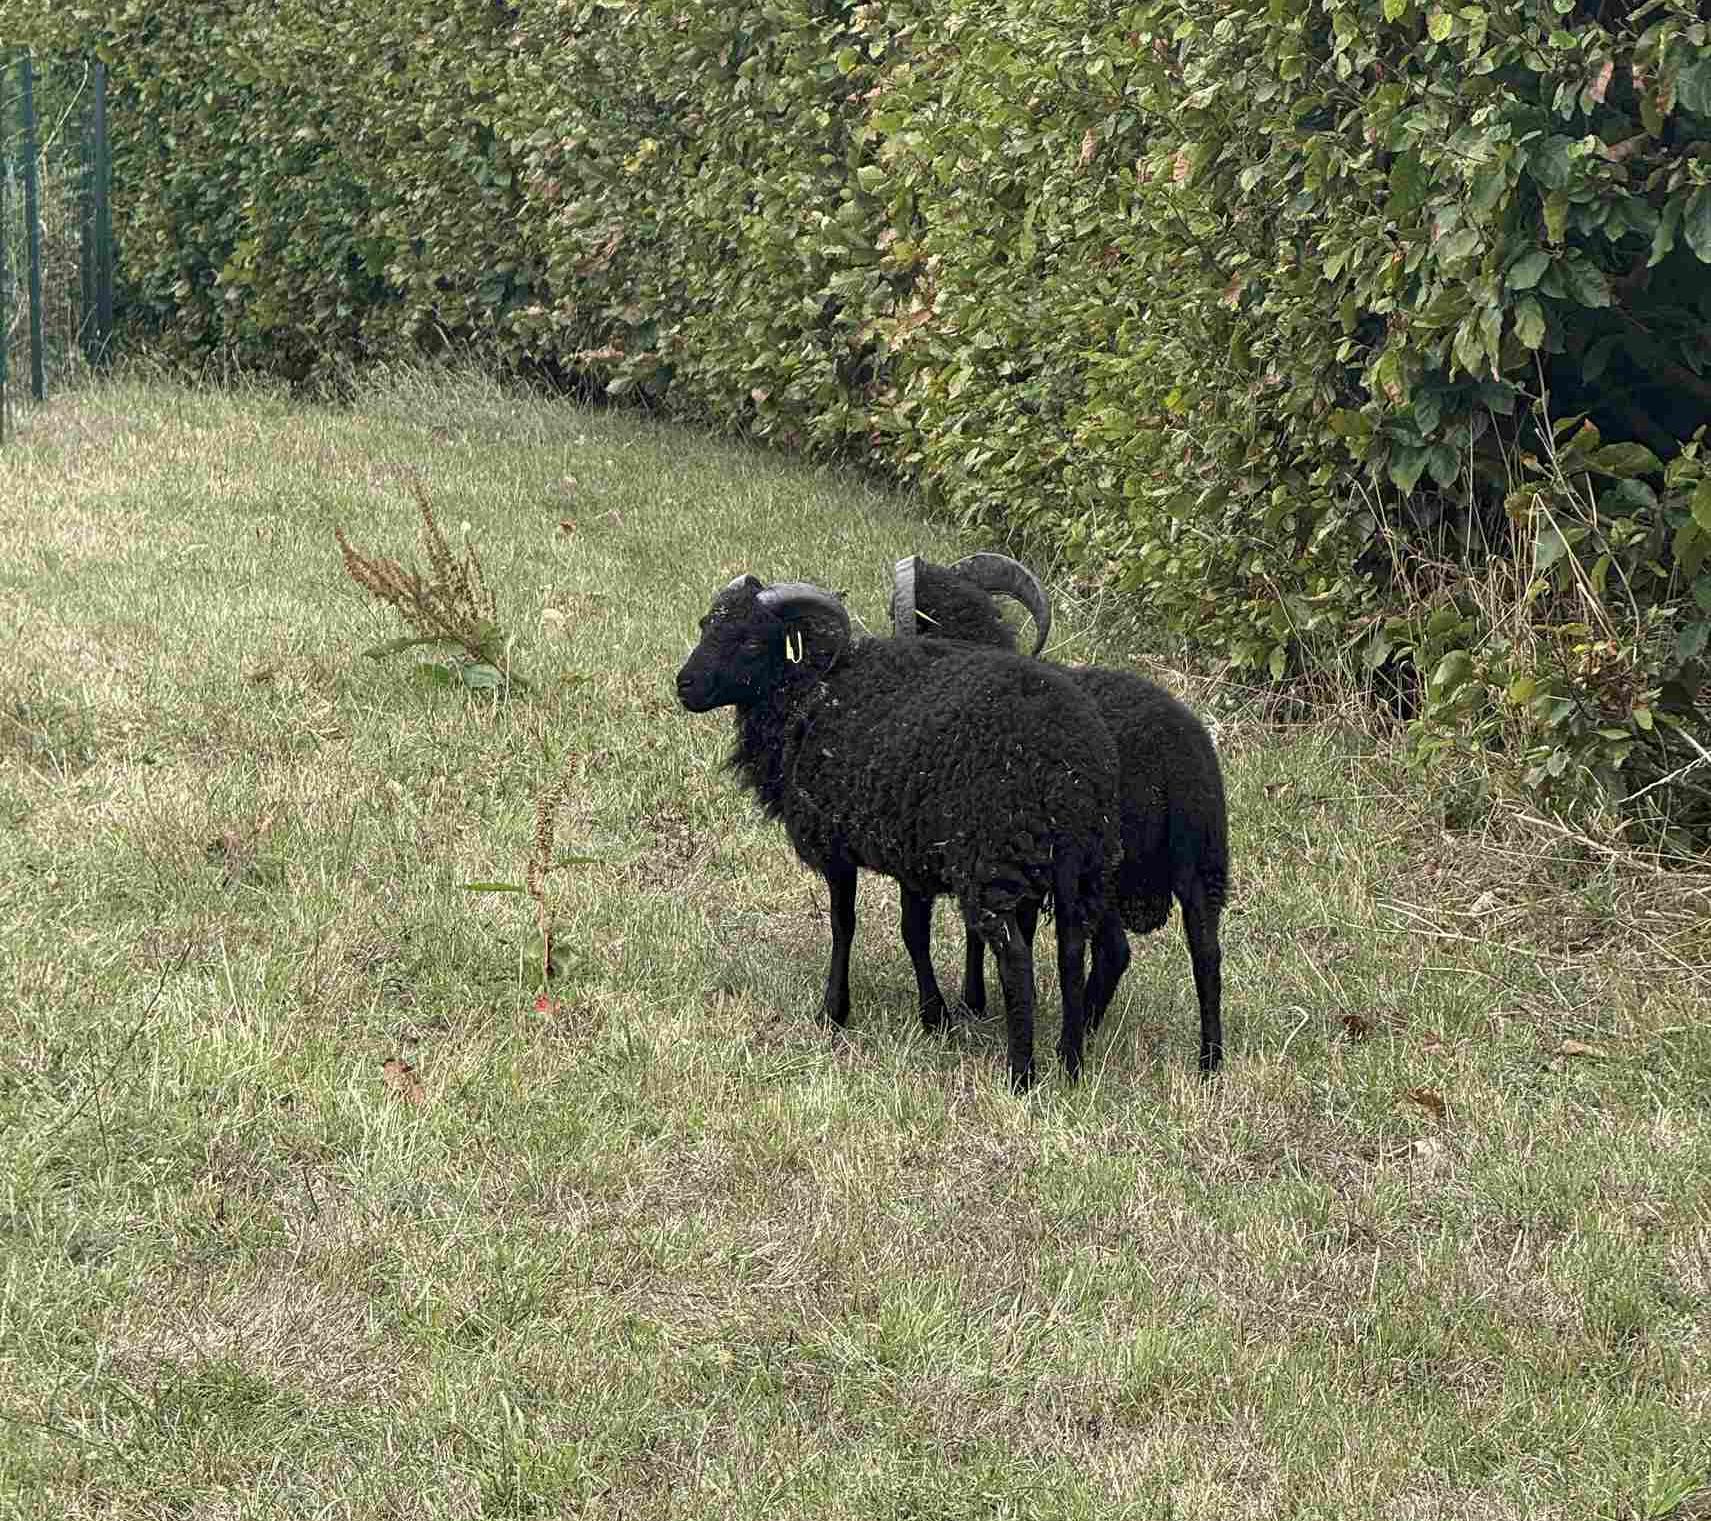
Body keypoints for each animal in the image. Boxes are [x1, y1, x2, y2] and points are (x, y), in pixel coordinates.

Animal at [675, 573, 1120, 1090]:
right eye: (706, 625)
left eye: (749, 641)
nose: (683, 684)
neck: (809, 694)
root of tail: (1068, 768)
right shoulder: (911, 853)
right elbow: (914, 934)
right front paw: (935, 1017)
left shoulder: (837, 845)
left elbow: (843, 924)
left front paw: (833, 1011)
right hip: (1079, 863)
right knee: (1072, 949)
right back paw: (1071, 1064)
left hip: (993, 860)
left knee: (1016, 960)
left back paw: (1021, 1074)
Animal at [892, 553, 1228, 1075]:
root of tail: (1171, 758)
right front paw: (981, 1001)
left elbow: (935, 930)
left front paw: (961, 1007)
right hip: (1201, 865)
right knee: (1206, 954)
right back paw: (1209, 1061)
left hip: (1104, 866)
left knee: (1113, 950)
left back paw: (1081, 1032)